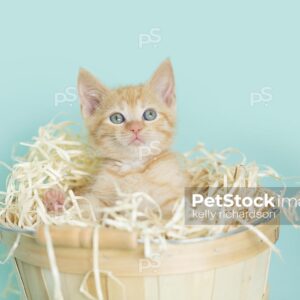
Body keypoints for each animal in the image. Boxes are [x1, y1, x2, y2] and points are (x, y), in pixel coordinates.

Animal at [78, 59, 186, 217]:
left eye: (150, 114)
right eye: (116, 118)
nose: (135, 128)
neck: (134, 167)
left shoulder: (172, 196)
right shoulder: (98, 195)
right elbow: (87, 209)